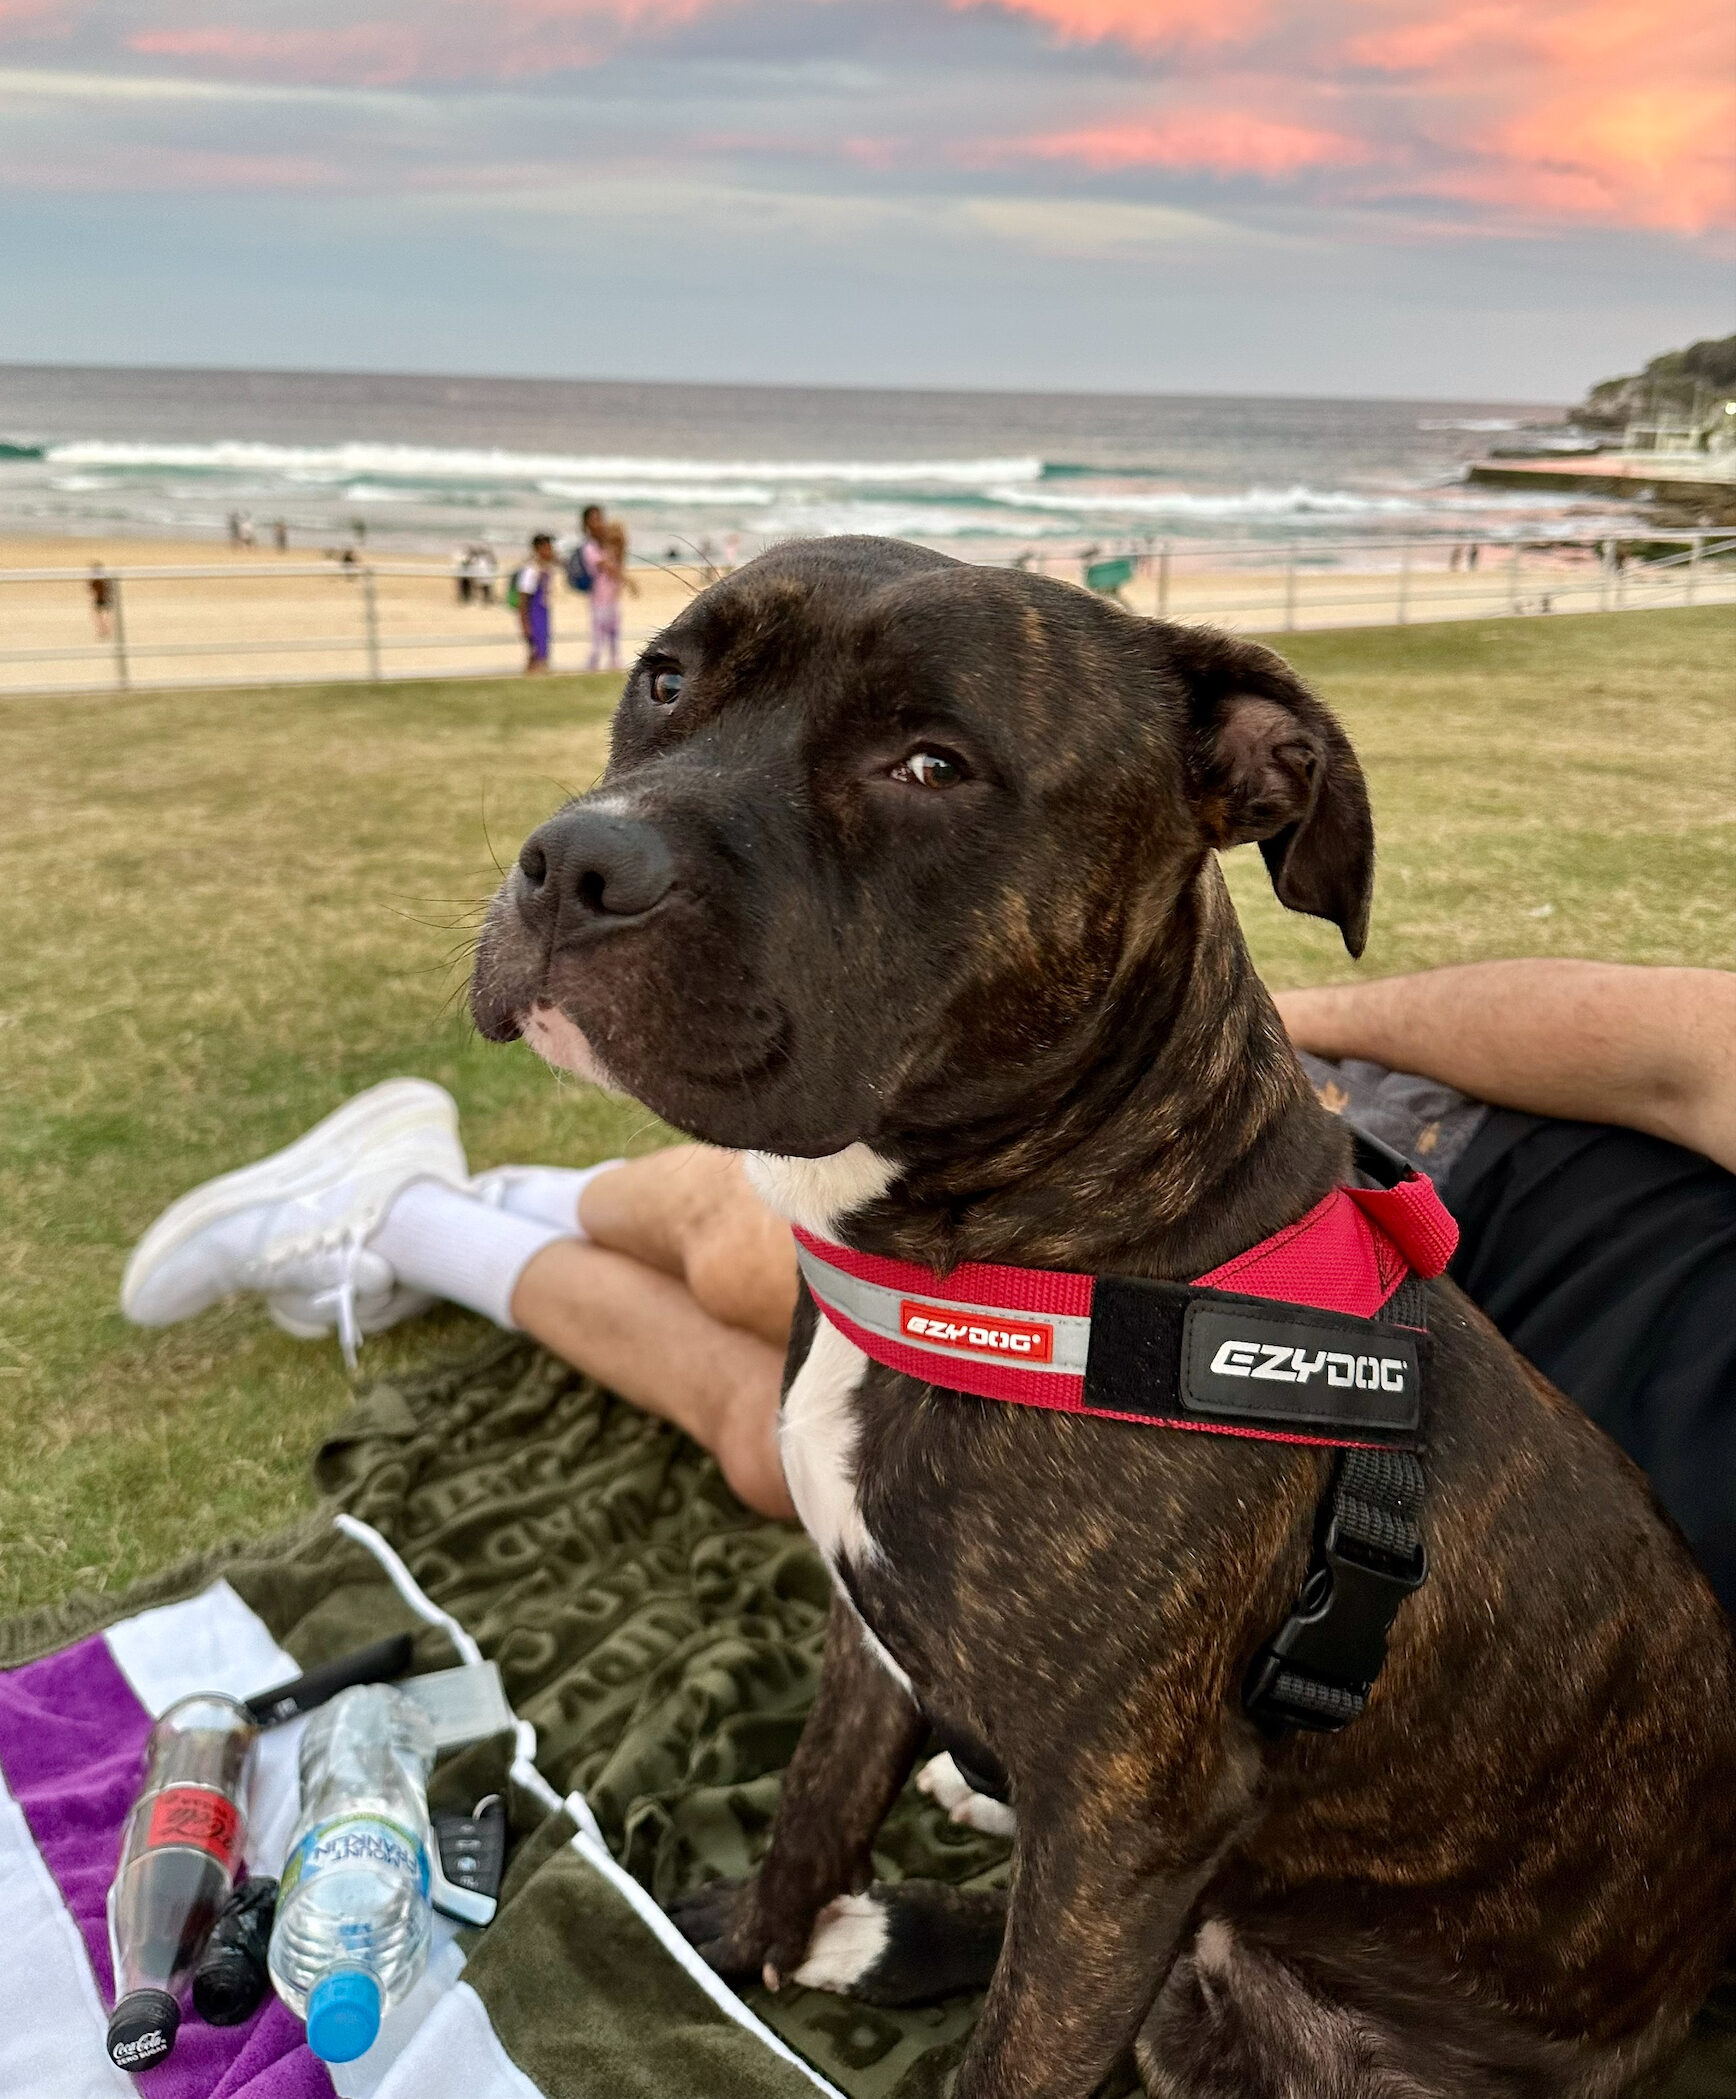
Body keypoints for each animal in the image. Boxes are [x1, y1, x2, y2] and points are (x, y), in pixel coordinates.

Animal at [471, 536, 1736, 2098]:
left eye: (931, 765)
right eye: (662, 679)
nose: (581, 862)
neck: (1042, 1257)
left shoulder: (1127, 1829)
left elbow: (1017, 2046)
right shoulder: (864, 1628)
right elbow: (815, 1800)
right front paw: (747, 1938)